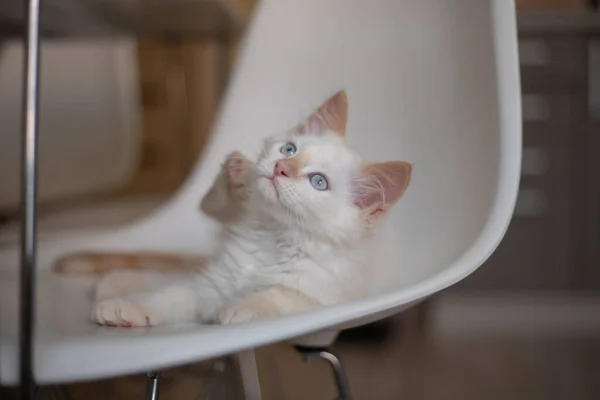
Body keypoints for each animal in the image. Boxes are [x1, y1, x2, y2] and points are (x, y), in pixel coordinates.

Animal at [92, 91, 412, 328]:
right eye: (289, 150)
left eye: (318, 182)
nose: (280, 167)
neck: (272, 237)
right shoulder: (211, 285)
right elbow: (168, 296)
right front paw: (130, 307)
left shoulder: (326, 298)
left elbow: (282, 294)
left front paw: (241, 306)